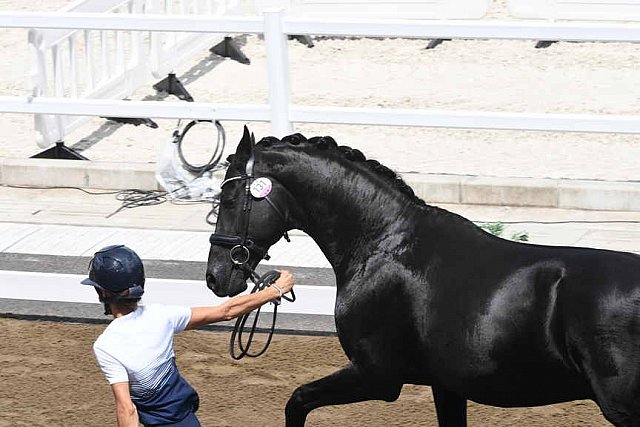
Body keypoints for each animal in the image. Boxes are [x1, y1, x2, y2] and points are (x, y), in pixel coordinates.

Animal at [205, 128, 640, 427]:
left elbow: (297, 400)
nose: (216, 277)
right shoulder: (445, 386)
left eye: (228, 200)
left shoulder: (377, 376)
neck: (380, 243)